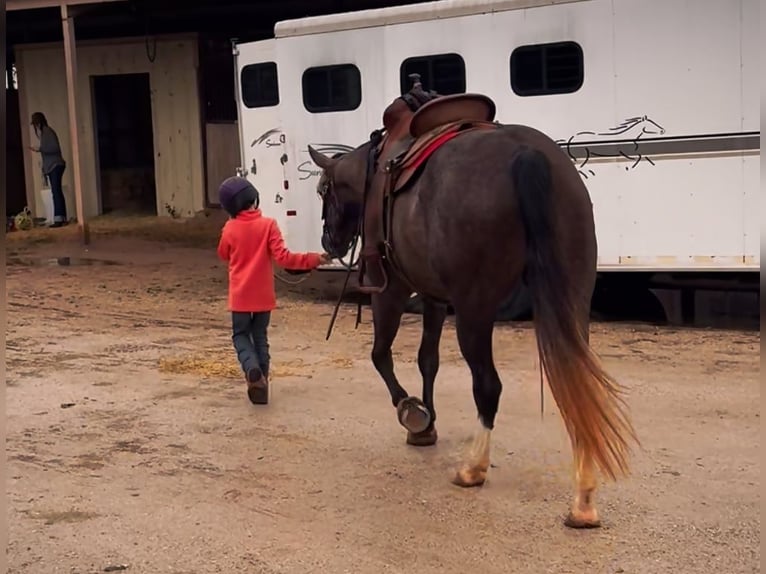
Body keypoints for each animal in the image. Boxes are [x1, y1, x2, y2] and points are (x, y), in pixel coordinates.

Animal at [307, 91, 639, 528]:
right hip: (571, 299)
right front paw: (426, 426)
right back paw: (583, 498)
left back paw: (473, 468)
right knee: (578, 382)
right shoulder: (434, 297)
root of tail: (526, 154)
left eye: (323, 191)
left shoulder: (392, 290)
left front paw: (412, 412)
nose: (328, 241)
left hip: (474, 310)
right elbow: (427, 359)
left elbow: (381, 356)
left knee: (487, 385)